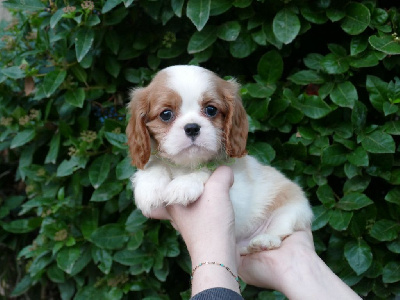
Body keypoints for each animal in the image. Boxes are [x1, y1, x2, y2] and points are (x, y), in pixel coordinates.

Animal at [126, 65, 314, 253]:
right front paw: (148, 187)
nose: (192, 128)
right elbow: (156, 163)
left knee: (281, 230)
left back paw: (264, 241)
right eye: (166, 114)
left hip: (293, 208)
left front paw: (184, 185)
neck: (186, 165)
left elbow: (210, 166)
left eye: (211, 110)